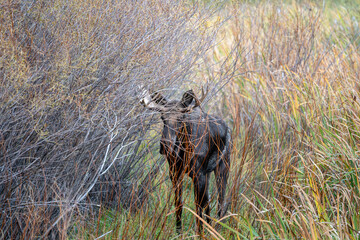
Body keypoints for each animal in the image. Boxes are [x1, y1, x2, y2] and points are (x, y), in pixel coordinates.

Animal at [141, 87, 231, 232]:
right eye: (162, 117)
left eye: (181, 118)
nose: (166, 145)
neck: (184, 151)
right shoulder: (175, 173)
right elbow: (179, 204)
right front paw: (179, 231)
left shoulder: (198, 174)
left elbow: (198, 206)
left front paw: (200, 233)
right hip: (207, 173)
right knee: (208, 202)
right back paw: (210, 226)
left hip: (223, 166)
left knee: (220, 202)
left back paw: (217, 228)